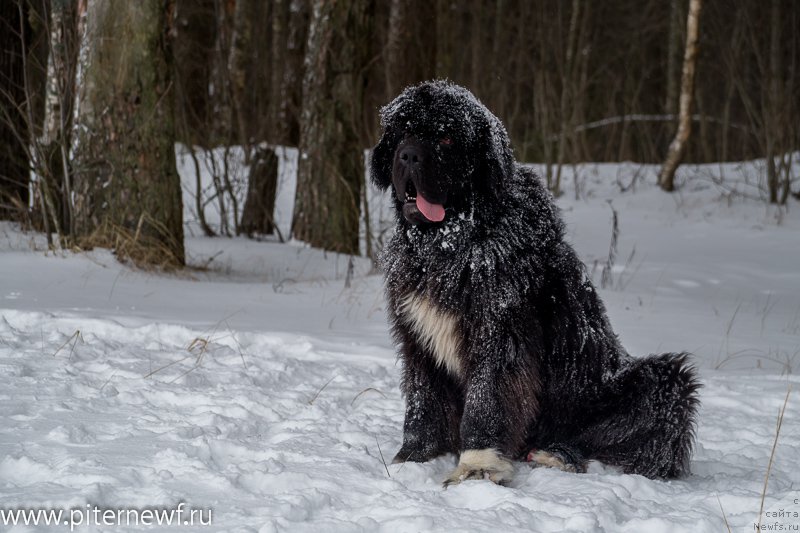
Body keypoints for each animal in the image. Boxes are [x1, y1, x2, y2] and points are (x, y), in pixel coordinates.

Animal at [370, 80, 700, 486]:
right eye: (402, 133)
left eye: (446, 137)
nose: (409, 156)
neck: (453, 243)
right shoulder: (417, 335)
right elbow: (423, 400)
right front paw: (414, 458)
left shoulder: (500, 331)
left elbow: (486, 398)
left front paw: (477, 465)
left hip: (658, 383)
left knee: (629, 442)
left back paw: (558, 455)